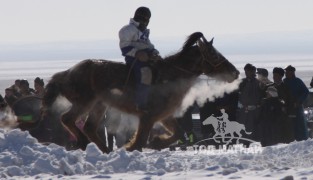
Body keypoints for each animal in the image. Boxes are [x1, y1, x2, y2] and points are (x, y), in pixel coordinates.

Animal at [41, 31, 239, 153]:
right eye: (214, 55)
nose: (235, 72)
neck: (170, 76)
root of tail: (66, 73)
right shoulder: (147, 117)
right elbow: (140, 141)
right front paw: (132, 147)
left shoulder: (163, 116)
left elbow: (178, 133)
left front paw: (157, 142)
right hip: (85, 101)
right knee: (67, 119)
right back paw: (83, 142)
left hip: (99, 104)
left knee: (89, 127)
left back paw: (105, 151)